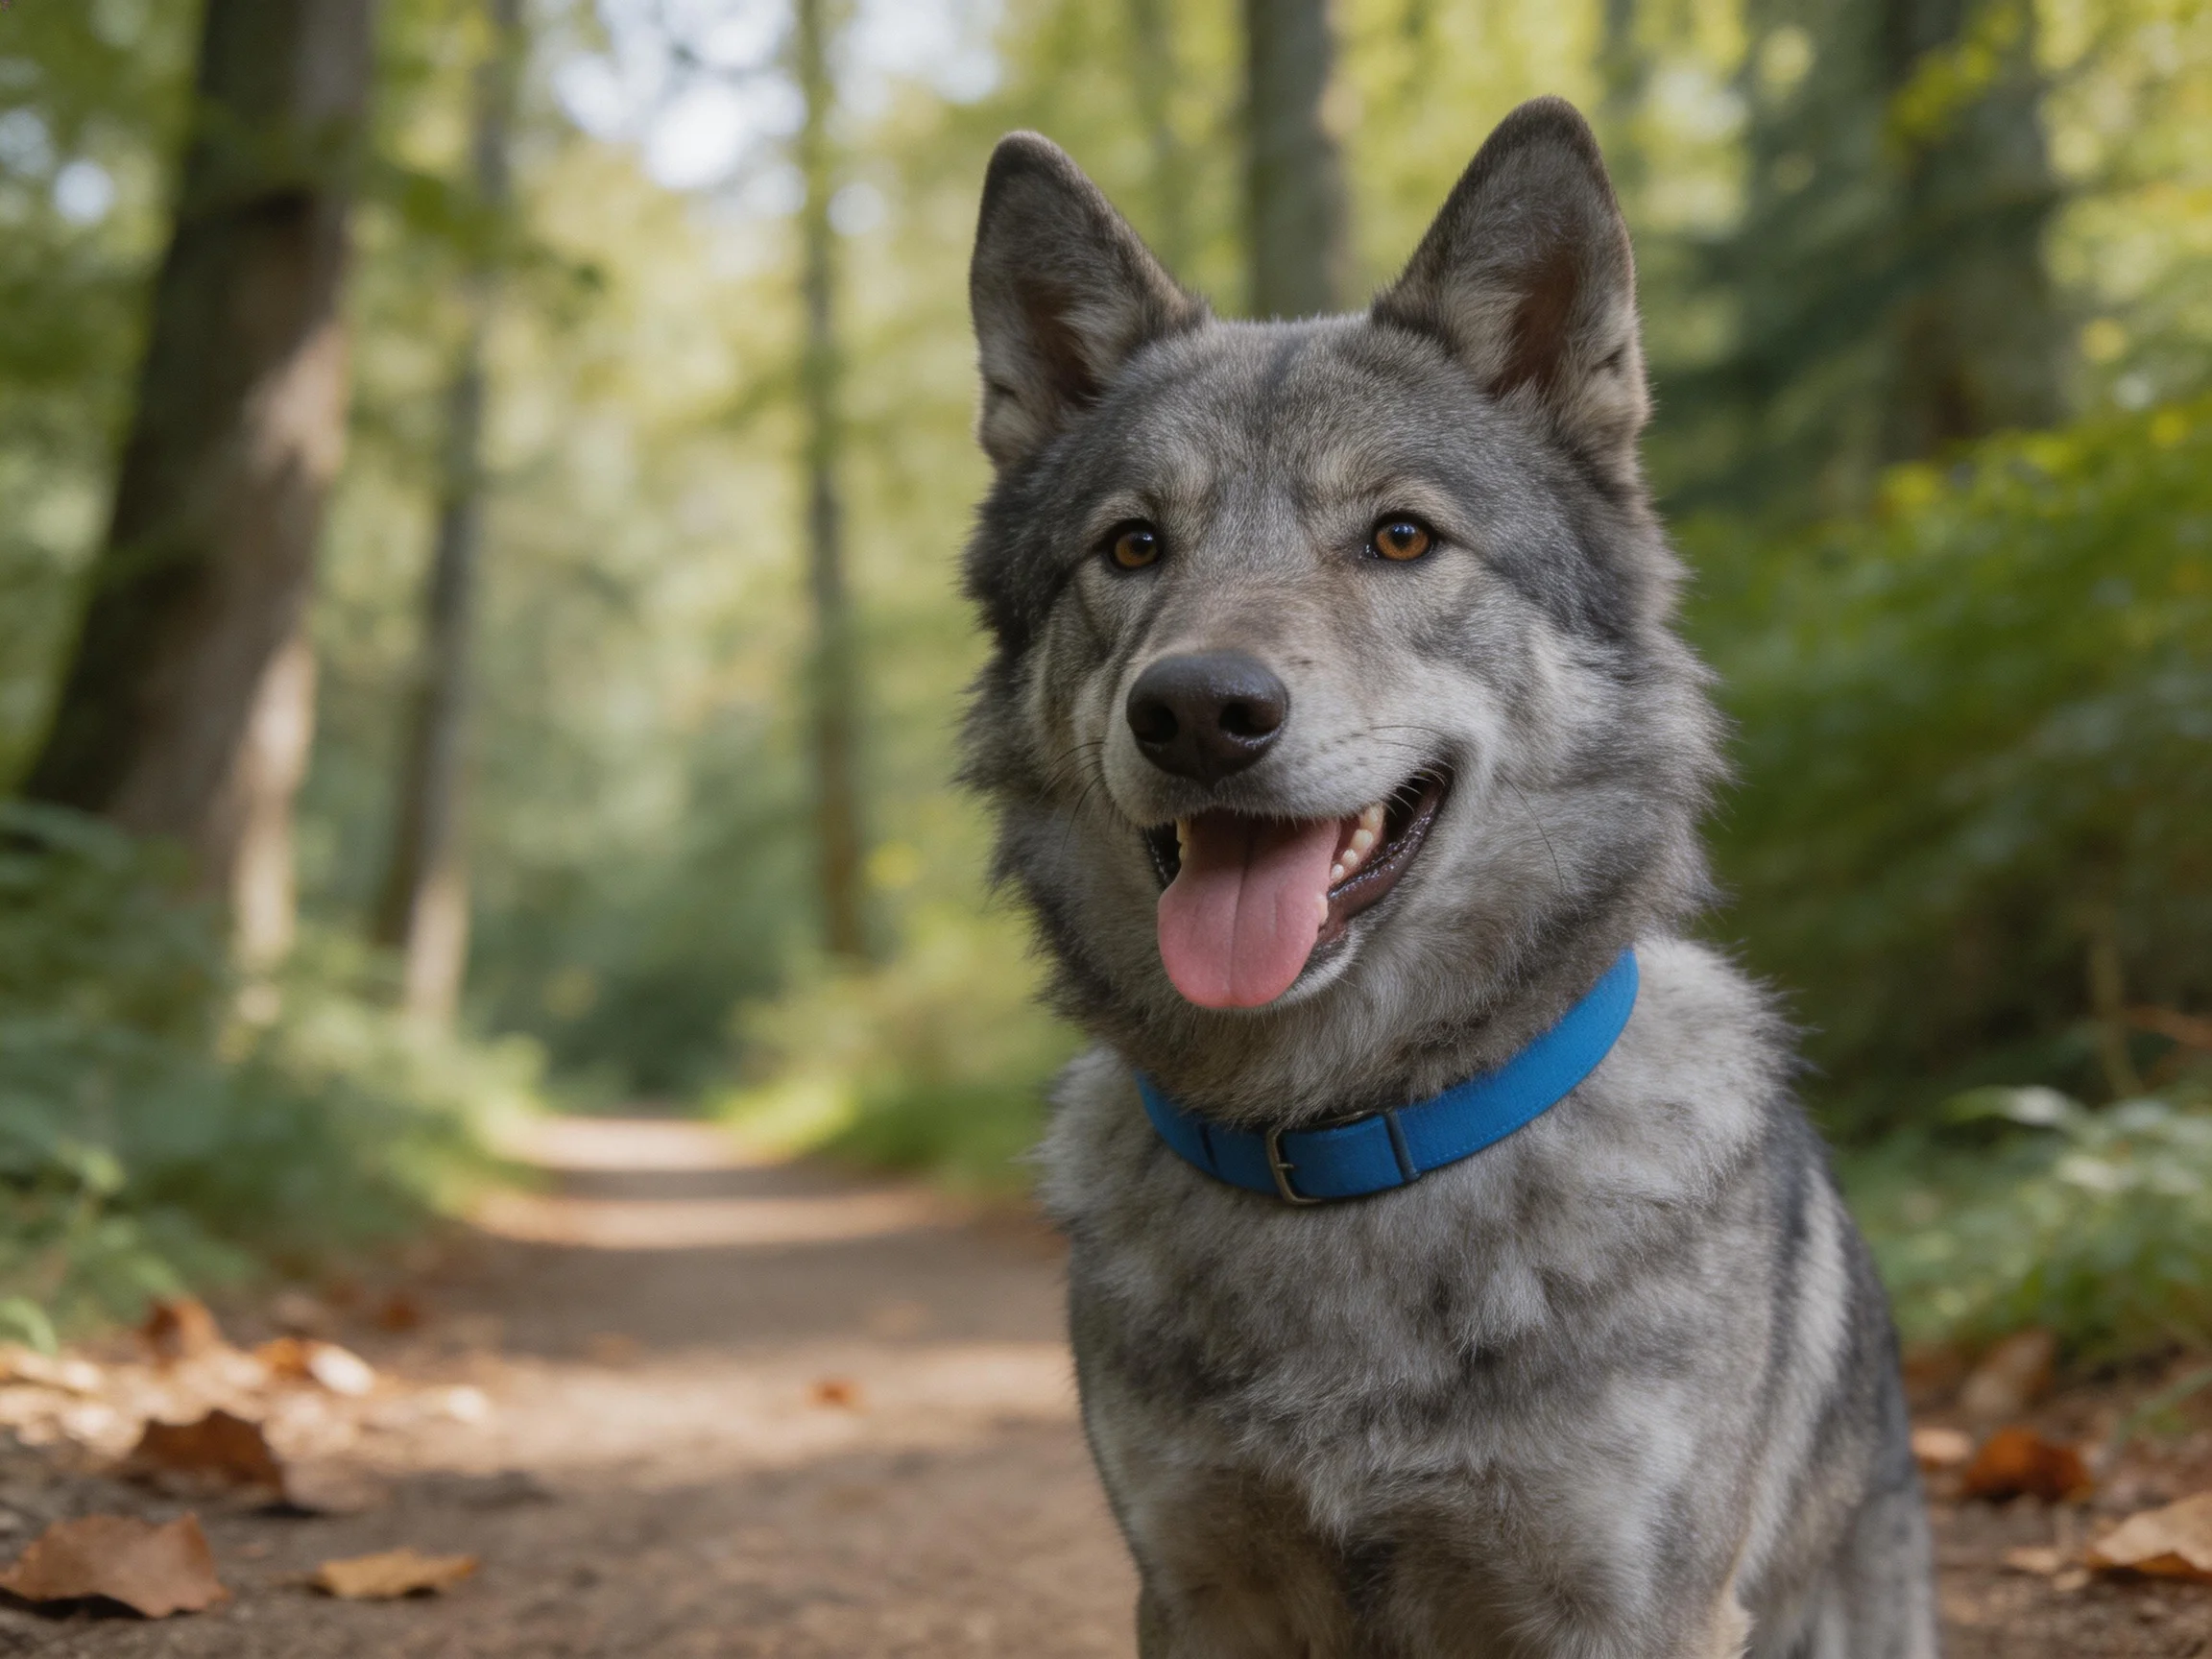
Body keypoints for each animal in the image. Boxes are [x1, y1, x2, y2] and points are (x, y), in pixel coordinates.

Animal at [958, 97, 1938, 1658]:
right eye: (1134, 545)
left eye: (1401, 537)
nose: (1198, 710)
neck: (1344, 1148)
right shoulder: (1197, 1591)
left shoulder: (1627, 1613)